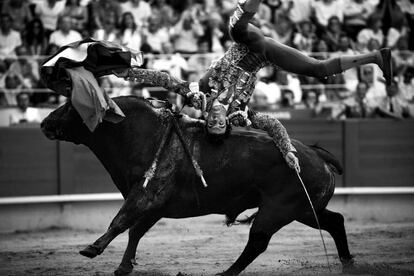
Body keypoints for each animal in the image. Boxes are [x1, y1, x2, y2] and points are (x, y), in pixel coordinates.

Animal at [40, 96, 354, 274]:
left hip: (279, 209)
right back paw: (348, 263)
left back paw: (225, 273)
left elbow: (120, 221)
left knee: (257, 241)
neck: (146, 134)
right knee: (335, 221)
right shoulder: (155, 207)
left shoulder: (145, 196)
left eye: (72, 106)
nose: (44, 123)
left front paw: (92, 248)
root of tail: (316, 154)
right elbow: (135, 231)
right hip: (304, 209)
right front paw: (123, 267)